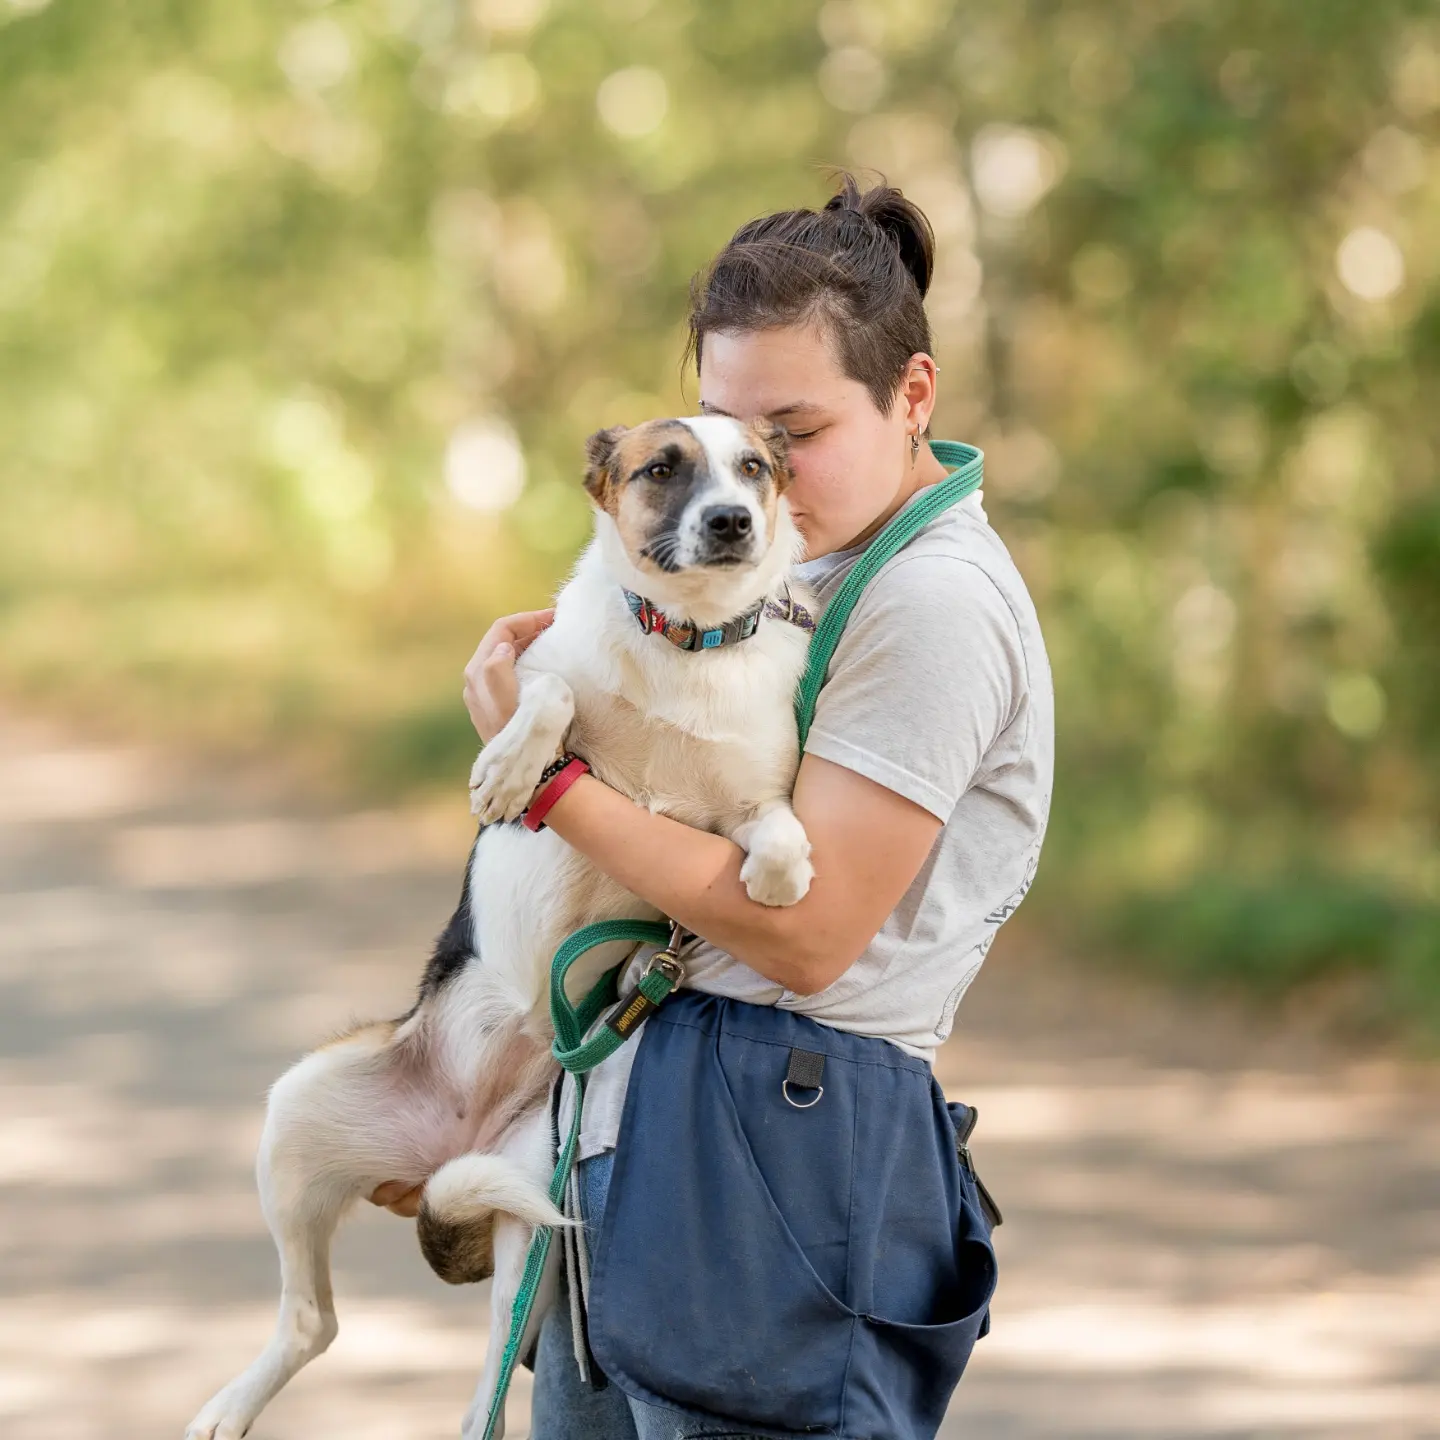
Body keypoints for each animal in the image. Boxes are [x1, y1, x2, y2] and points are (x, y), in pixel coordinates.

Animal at [188, 417, 823, 1440]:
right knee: (310, 1321)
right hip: (297, 1115)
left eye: (755, 468)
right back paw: (228, 1407)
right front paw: (512, 771)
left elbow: (773, 824)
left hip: (532, 1225)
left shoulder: (744, 806)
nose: (731, 520)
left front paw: (781, 873)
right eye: (662, 468)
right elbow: (553, 697)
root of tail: (448, 1149)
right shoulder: (536, 672)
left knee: (450, 1384)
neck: (685, 643)